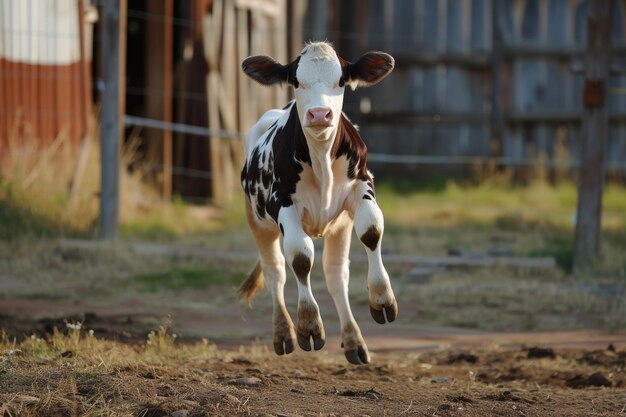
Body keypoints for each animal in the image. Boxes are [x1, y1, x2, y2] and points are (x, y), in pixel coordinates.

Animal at [239, 40, 394, 362]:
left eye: (342, 81)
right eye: (296, 81)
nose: (320, 114)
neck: (321, 158)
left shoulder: (362, 185)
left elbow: (372, 230)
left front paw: (383, 298)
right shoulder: (282, 203)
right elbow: (300, 256)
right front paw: (309, 324)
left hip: (339, 227)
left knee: (336, 275)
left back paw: (354, 341)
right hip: (257, 221)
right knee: (275, 272)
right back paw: (283, 333)